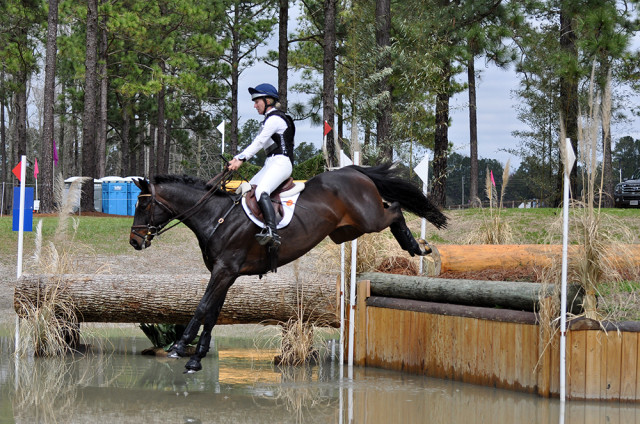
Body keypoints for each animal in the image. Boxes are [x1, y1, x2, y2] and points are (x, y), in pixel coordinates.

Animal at [129, 162, 450, 372]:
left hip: (368, 218)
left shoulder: (224, 270)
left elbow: (202, 306)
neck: (216, 217)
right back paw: (414, 245)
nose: (134, 241)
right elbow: (213, 312)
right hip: (347, 230)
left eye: (142, 206)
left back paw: (417, 246)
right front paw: (197, 357)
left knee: (395, 208)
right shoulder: (225, 274)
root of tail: (353, 170)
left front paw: (179, 347)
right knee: (392, 208)